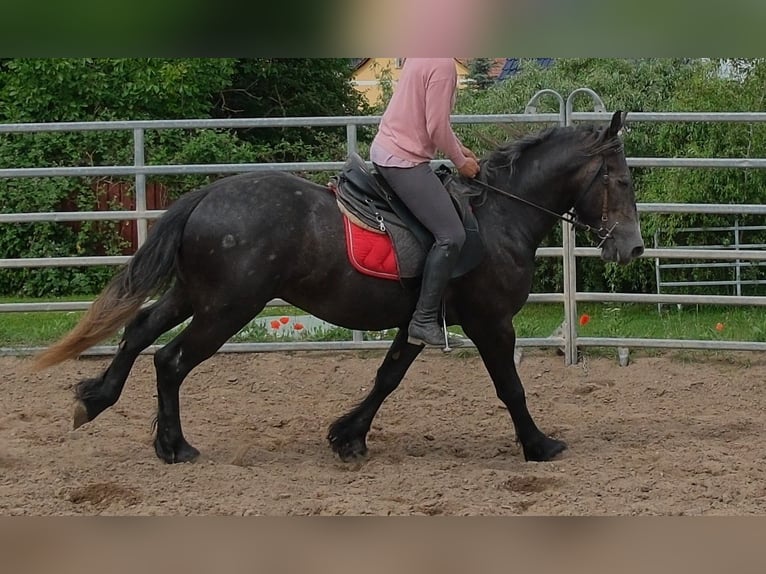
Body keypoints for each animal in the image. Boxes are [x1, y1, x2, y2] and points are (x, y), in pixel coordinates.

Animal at [30, 111, 644, 464]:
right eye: (620, 179)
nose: (632, 248)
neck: (499, 216)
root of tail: (206, 196)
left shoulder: (420, 321)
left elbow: (387, 376)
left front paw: (348, 435)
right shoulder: (490, 323)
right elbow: (511, 388)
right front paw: (539, 446)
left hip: (193, 296)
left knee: (141, 335)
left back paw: (100, 403)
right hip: (226, 308)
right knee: (173, 359)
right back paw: (174, 445)